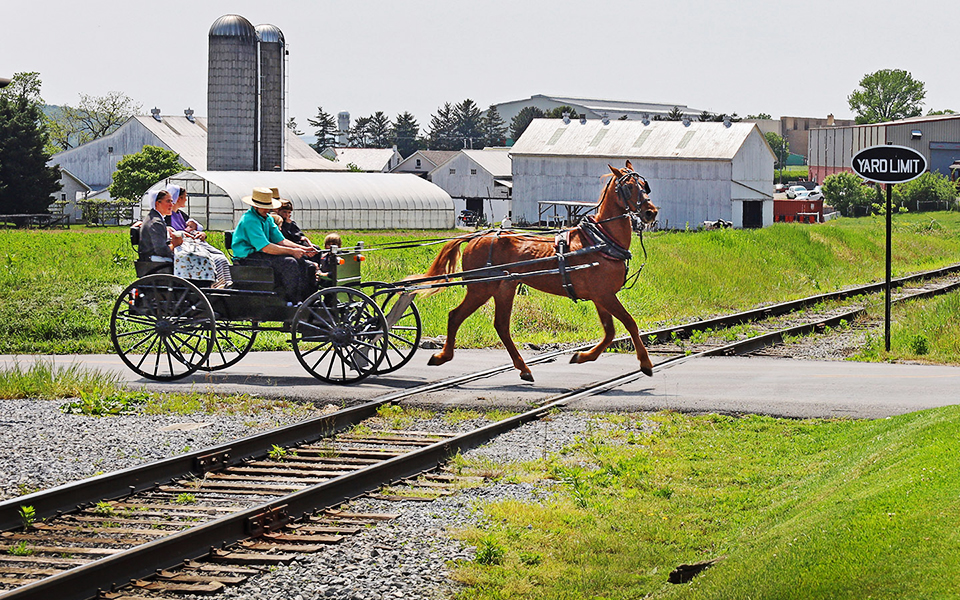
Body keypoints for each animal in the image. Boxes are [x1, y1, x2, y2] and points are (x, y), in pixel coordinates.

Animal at [422, 162, 660, 382]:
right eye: (629, 187)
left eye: (644, 184)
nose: (651, 212)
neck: (601, 240)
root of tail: (477, 237)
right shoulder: (604, 295)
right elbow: (630, 323)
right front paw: (645, 363)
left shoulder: (601, 296)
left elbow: (610, 331)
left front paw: (582, 356)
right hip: (481, 288)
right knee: (456, 316)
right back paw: (443, 356)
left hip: (504, 288)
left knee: (501, 325)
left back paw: (523, 368)